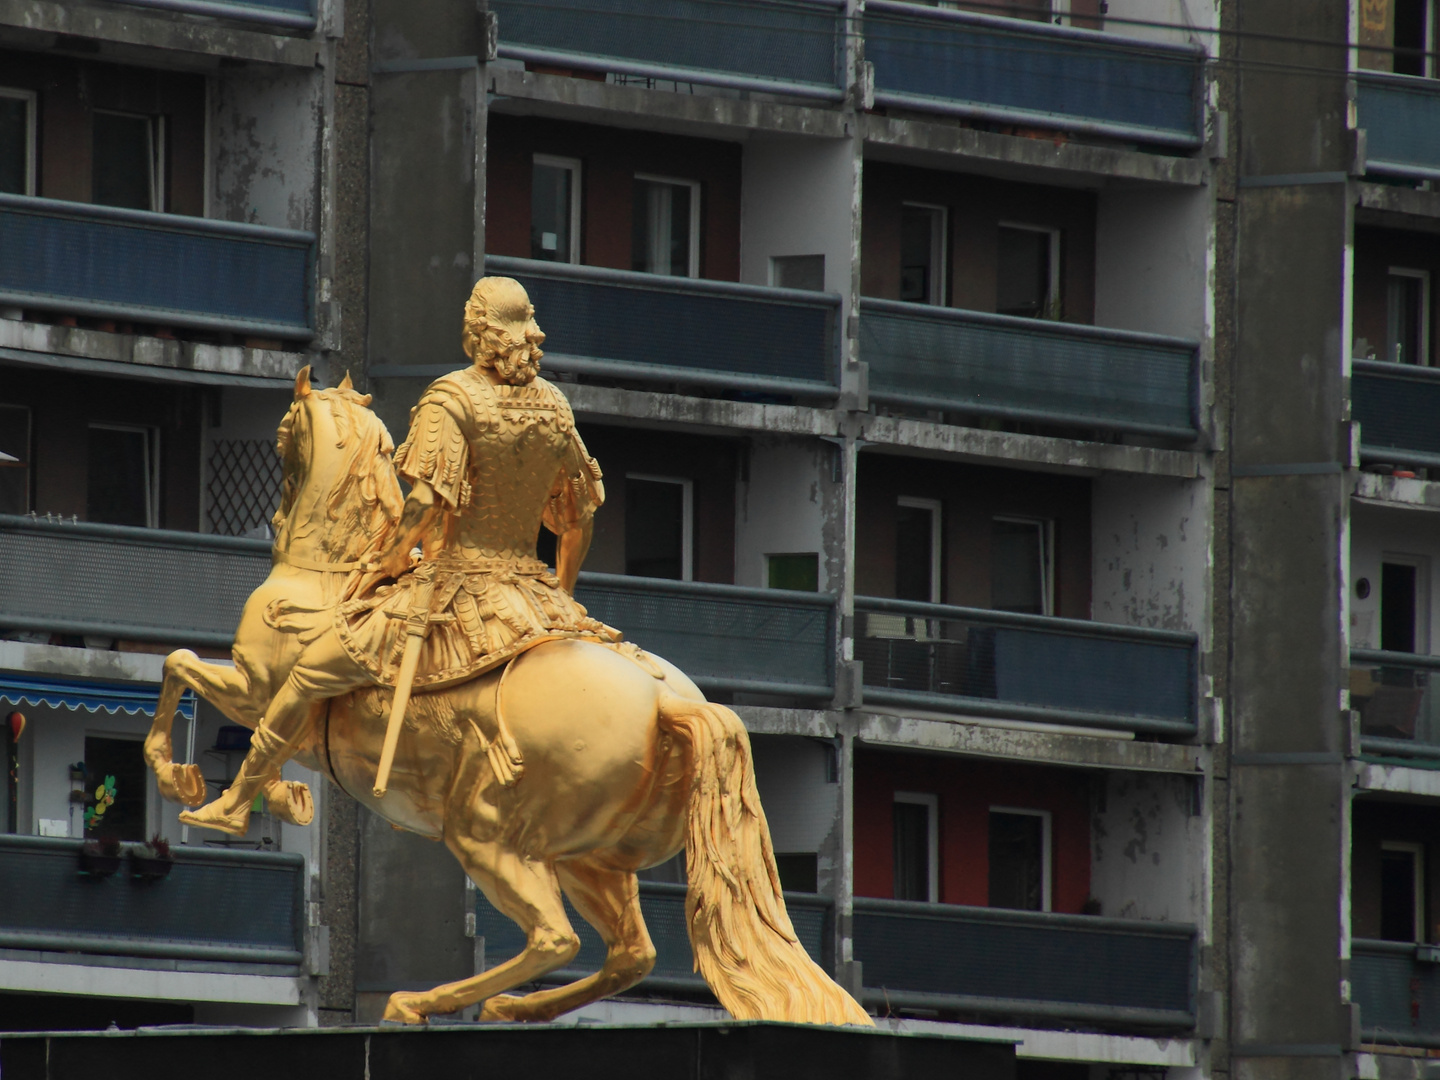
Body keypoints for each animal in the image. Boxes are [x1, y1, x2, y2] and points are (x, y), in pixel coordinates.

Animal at [146, 377, 869, 1025]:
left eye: (282, 432)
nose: (271, 512)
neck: (322, 576)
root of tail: (670, 707)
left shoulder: (261, 689)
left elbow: (188, 674)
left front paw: (199, 795)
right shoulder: (273, 706)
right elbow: (204, 691)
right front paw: (281, 798)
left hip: (485, 834)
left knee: (556, 938)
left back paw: (422, 1003)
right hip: (589, 860)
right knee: (629, 954)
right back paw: (507, 1007)